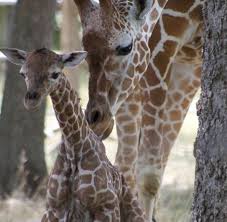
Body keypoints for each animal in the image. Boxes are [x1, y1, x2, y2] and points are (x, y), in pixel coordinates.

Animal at [0, 47, 147, 221]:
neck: (74, 149)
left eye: (55, 74)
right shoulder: (53, 210)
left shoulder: (107, 207)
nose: (31, 100)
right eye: (23, 73)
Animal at [74, 0, 204, 220]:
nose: (95, 119)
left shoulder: (185, 63)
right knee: (127, 165)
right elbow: (147, 173)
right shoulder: (159, 46)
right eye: (85, 50)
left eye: (125, 47)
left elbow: (153, 173)